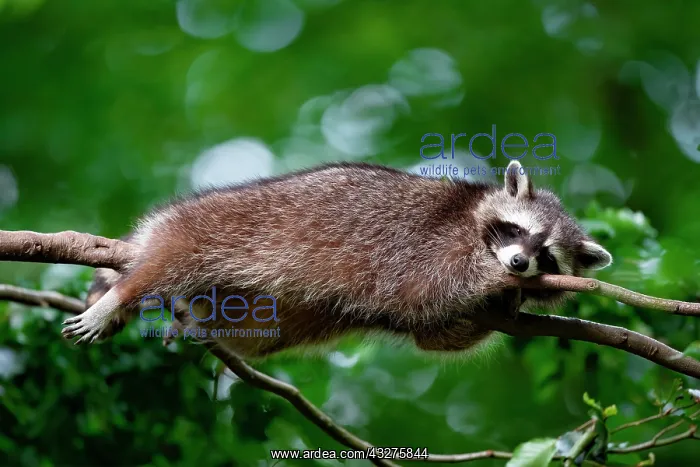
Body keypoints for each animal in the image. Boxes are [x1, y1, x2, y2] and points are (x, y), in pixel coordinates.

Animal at [65, 160, 612, 357]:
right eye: (519, 232)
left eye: (547, 255)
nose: (518, 266)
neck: (476, 215)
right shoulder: (429, 241)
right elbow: (426, 289)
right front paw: (498, 286)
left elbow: (434, 333)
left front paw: (508, 303)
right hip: (221, 225)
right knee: (171, 256)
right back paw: (122, 294)